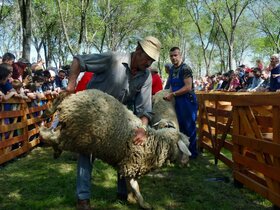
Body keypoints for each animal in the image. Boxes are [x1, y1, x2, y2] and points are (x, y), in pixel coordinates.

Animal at [39, 88, 191, 209]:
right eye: (185, 148)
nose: (186, 164)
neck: (153, 143)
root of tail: (71, 99)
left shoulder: (126, 165)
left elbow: (130, 185)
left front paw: (130, 198)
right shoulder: (131, 163)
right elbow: (135, 186)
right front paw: (143, 203)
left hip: (70, 129)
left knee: (55, 129)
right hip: (74, 133)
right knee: (51, 137)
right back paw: (44, 134)